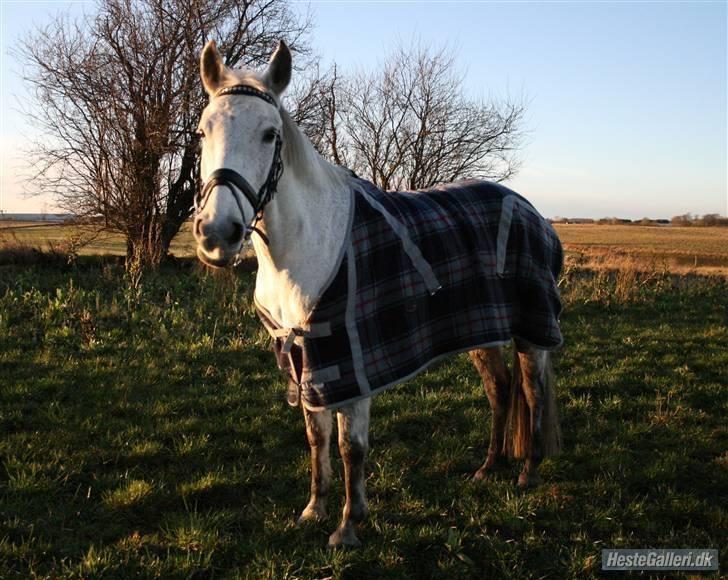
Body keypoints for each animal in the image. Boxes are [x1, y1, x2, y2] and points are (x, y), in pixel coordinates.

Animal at [193, 40, 564, 548]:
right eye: (202, 132)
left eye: (270, 134)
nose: (217, 234)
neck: (310, 242)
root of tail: (532, 212)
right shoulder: (306, 357)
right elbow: (317, 438)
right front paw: (314, 509)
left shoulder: (353, 361)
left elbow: (351, 446)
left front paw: (348, 526)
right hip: (482, 330)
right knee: (500, 389)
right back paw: (488, 468)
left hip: (532, 328)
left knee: (532, 390)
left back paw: (528, 471)